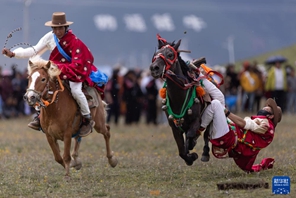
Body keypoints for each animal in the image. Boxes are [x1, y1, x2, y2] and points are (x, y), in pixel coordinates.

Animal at [150, 35, 210, 166]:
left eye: (170, 54)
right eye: (156, 54)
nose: (154, 68)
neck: (179, 99)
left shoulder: (196, 120)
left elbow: (191, 135)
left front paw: (192, 148)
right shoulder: (174, 127)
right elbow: (182, 151)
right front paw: (190, 158)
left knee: (207, 134)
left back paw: (205, 153)